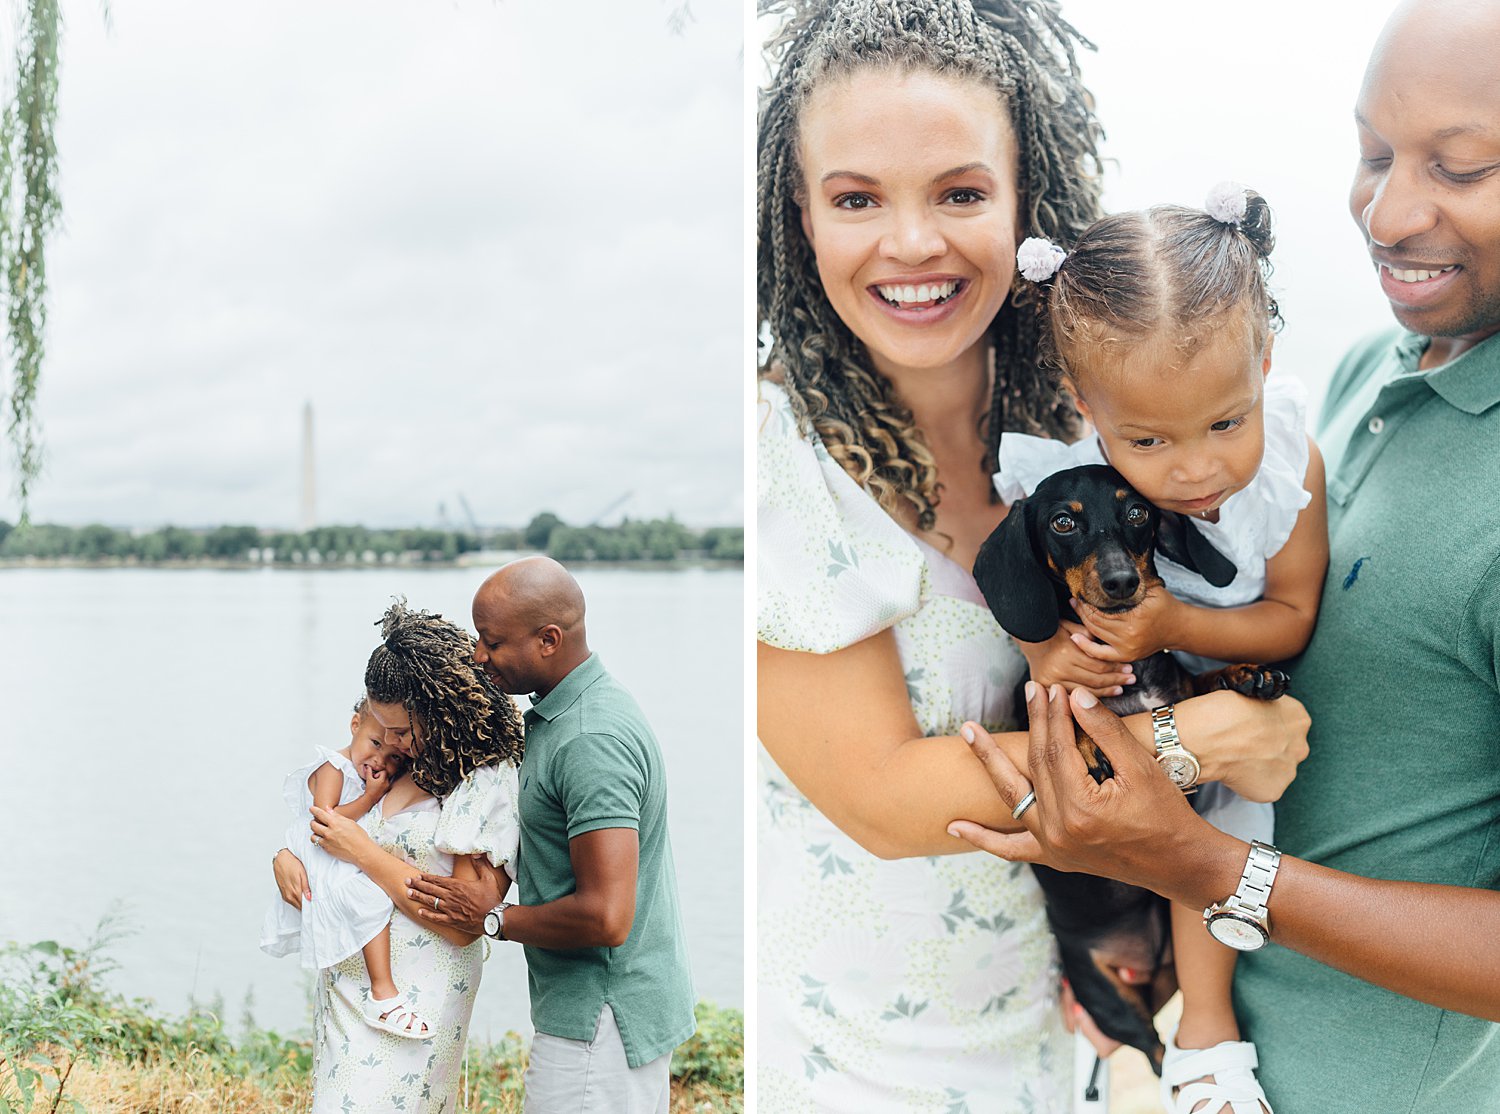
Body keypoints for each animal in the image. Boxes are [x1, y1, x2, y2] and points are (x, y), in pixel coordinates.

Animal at [972, 461, 1290, 1073]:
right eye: (1063, 521)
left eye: (1138, 511)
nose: (1121, 582)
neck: (1129, 675)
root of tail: (1145, 960)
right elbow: (1063, 700)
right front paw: (1086, 740)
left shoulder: (1176, 695)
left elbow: (1196, 685)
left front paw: (1244, 674)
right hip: (1105, 994)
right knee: (1154, 1049)